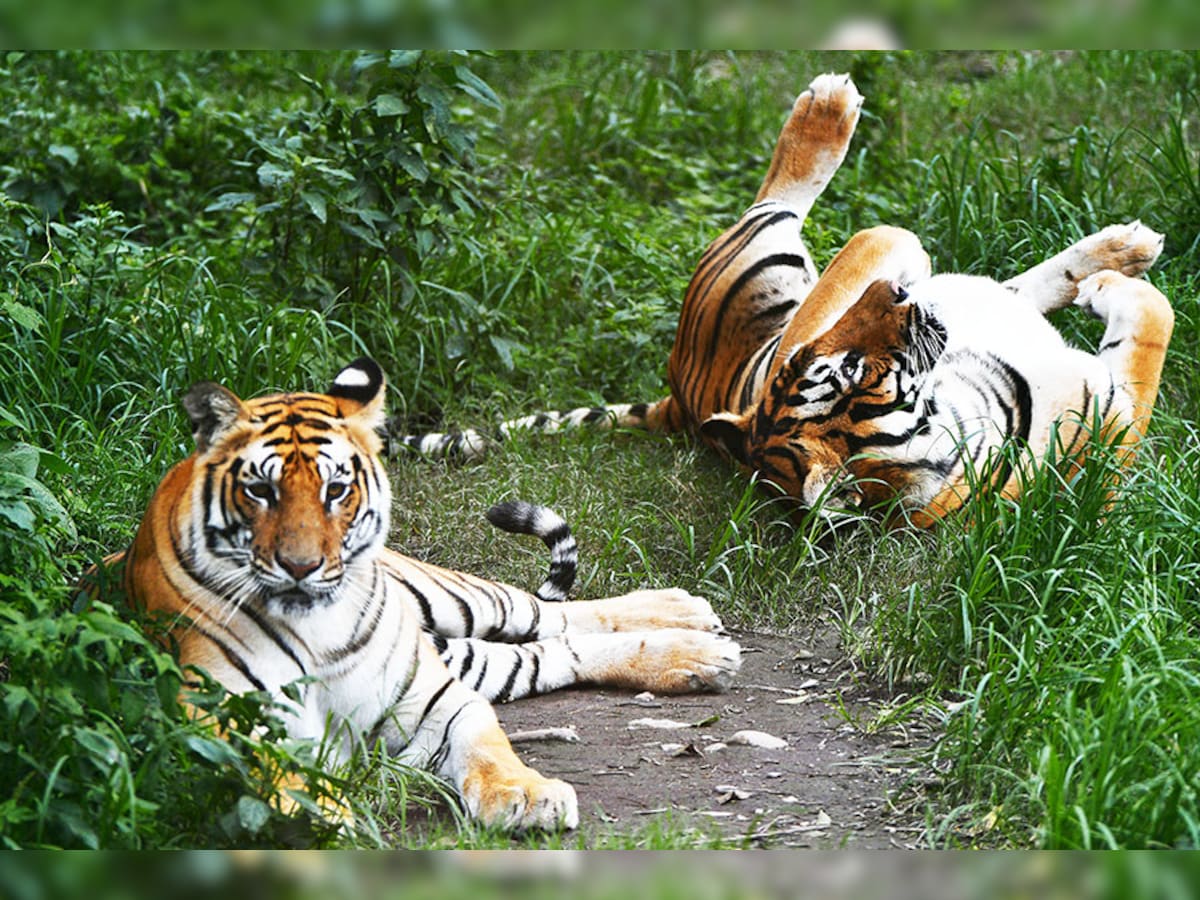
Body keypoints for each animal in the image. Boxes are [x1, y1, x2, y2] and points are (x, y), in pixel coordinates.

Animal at [107, 357, 741, 831]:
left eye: (337, 489)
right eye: (260, 491)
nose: (302, 566)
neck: (317, 631)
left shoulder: (439, 699)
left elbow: (489, 746)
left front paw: (527, 797)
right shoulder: (212, 713)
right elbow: (279, 774)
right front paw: (325, 815)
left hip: (452, 602)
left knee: (544, 613)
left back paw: (690, 619)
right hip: (462, 651)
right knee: (550, 652)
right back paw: (699, 654)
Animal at [393, 73, 1173, 524]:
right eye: (846, 374)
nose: (898, 294)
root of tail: (678, 396)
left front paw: (1106, 281)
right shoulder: (1119, 413)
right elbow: (1153, 328)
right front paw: (1115, 292)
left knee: (1000, 286)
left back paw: (1119, 248)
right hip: (765, 261)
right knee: (787, 205)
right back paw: (832, 109)